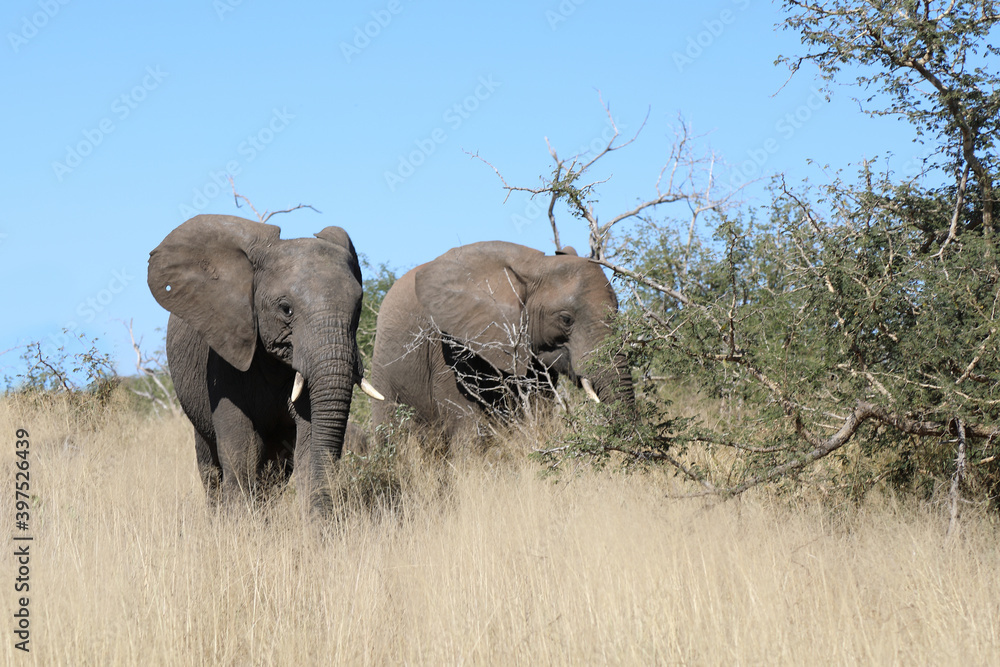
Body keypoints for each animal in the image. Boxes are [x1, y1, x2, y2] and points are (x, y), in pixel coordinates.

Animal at [147, 214, 382, 512]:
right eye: (286, 309)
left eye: (359, 308)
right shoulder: (225, 355)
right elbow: (242, 450)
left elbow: (308, 441)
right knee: (211, 465)